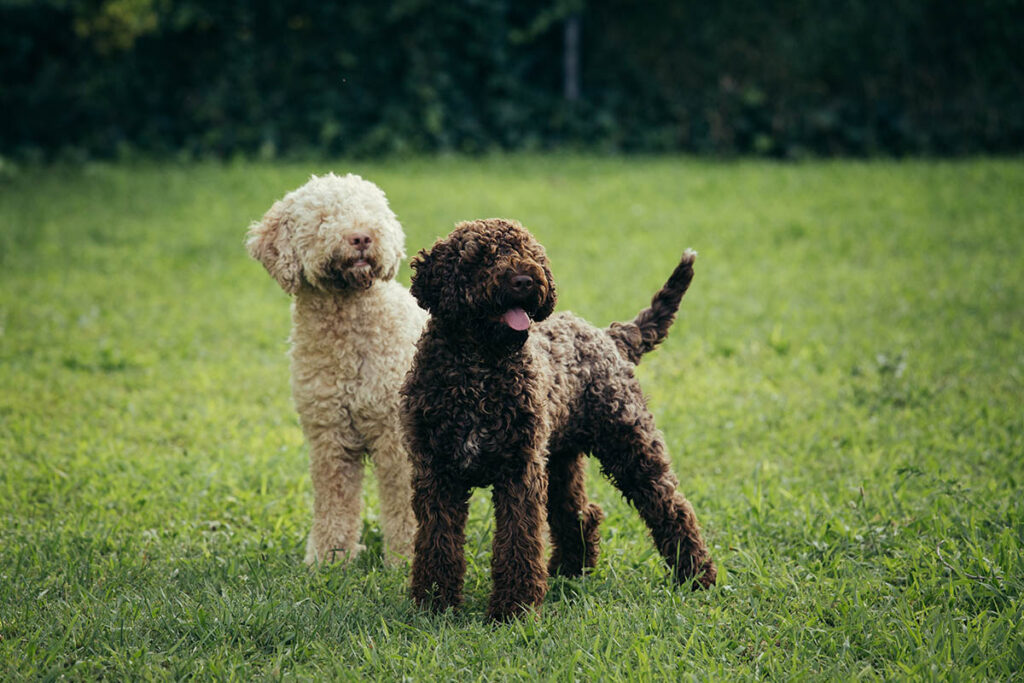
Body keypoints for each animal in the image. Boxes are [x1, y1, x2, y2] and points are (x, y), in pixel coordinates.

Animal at [245, 172, 425, 565]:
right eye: (323, 218)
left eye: (371, 211)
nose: (361, 237)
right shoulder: (329, 436)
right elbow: (334, 501)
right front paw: (329, 559)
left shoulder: (397, 439)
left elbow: (405, 506)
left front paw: (406, 560)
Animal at [399, 218, 712, 618]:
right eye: (483, 257)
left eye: (530, 253)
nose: (525, 280)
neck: (478, 370)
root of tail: (608, 335)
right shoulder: (436, 474)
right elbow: (438, 542)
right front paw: (435, 604)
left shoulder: (519, 473)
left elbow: (518, 541)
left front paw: (514, 609)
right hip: (561, 461)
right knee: (580, 514)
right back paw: (569, 571)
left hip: (631, 447)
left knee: (672, 508)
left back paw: (697, 576)